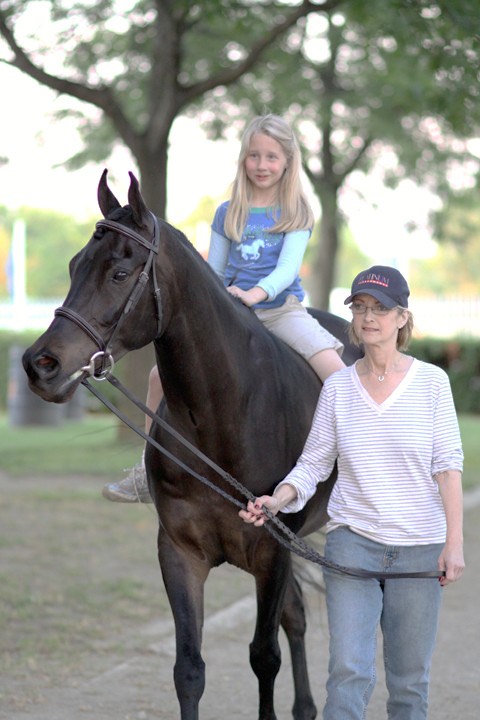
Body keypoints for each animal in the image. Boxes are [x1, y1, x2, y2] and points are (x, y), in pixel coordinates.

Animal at [21, 170, 360, 720]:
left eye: (119, 273)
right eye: (73, 266)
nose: (39, 365)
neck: (223, 416)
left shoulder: (271, 552)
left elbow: (263, 656)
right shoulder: (180, 552)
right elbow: (189, 669)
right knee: (296, 617)